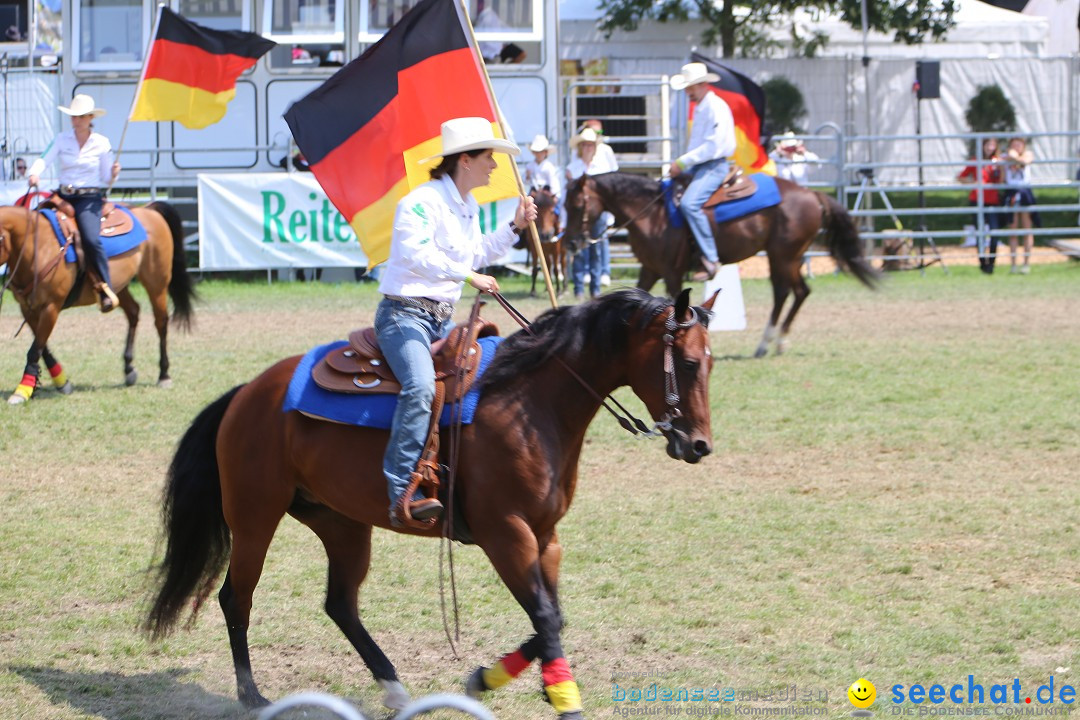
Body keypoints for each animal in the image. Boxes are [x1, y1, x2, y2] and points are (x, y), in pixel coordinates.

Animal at [0, 202, 194, 403]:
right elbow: (43, 348)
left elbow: (35, 349)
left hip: (157, 282)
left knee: (161, 322)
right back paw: (128, 369)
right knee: (134, 312)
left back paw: (164, 374)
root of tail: (148, 209)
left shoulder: (51, 307)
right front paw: (61, 382)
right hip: (119, 286)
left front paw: (22, 390)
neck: (38, 248)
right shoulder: (27, 308)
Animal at [143, 289, 717, 720]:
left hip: (342, 523)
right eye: (689, 363)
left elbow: (551, 618)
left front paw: (492, 679)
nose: (698, 446)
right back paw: (252, 694)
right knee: (235, 598)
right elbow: (546, 617)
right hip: (254, 517)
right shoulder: (506, 534)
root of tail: (247, 393)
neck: (529, 403)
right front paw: (560, 701)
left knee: (340, 604)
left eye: (711, 363)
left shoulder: (545, 536)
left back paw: (394, 689)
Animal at [561, 172, 881, 358]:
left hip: (783, 257)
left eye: (576, 205)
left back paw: (765, 343)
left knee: (784, 293)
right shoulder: (650, 270)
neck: (652, 214)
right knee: (800, 292)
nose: (570, 243)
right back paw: (778, 342)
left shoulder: (671, 272)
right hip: (789, 257)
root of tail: (812, 194)